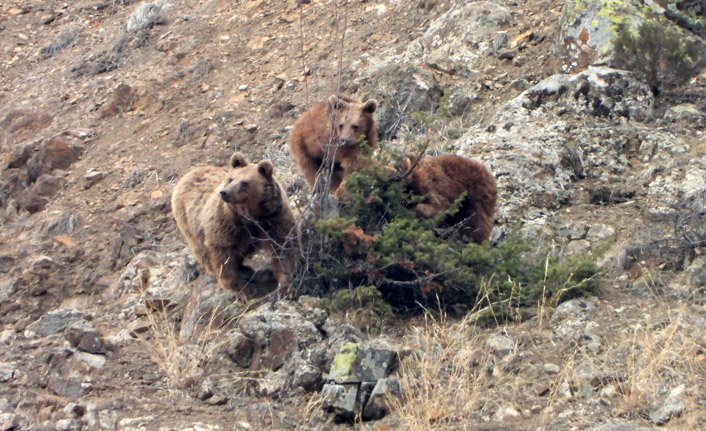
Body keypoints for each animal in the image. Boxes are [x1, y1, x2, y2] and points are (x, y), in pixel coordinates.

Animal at [171, 152, 296, 296]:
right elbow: (224, 256)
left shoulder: (274, 219)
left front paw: (287, 286)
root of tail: (187, 174)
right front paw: (239, 288)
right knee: (201, 249)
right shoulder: (227, 224)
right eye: (230, 179)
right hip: (189, 222)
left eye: (244, 182)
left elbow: (283, 248)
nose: (225, 192)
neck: (250, 215)